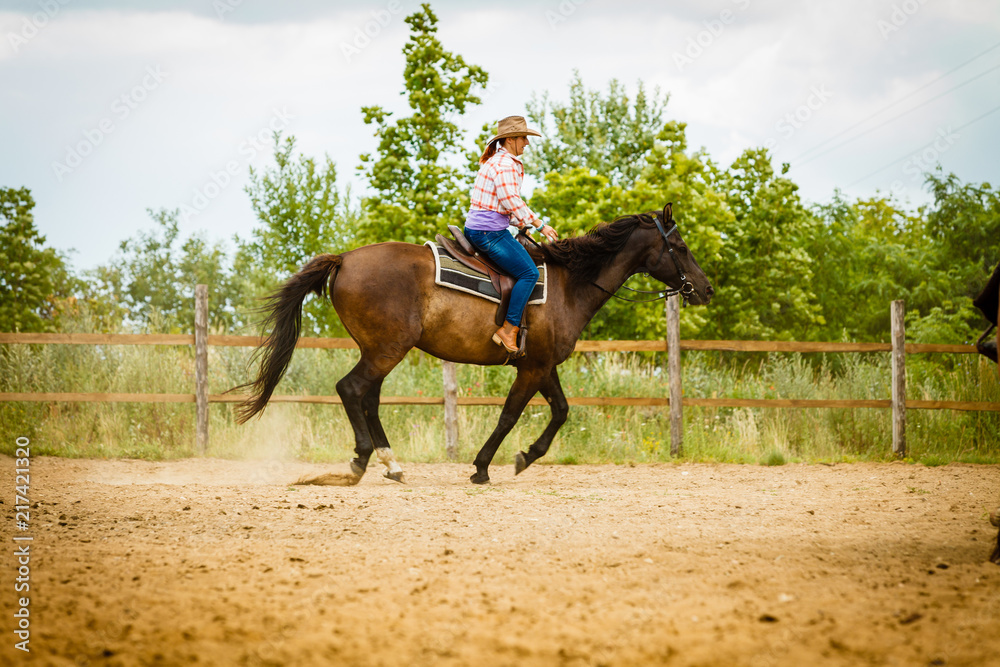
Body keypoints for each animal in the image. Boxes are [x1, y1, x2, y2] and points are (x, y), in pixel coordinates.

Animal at [233, 204, 712, 486]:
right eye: (681, 246)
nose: (705, 289)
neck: (569, 284)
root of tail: (345, 259)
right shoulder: (532, 368)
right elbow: (509, 415)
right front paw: (483, 467)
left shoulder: (543, 365)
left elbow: (560, 411)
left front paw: (526, 457)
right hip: (387, 350)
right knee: (351, 390)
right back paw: (360, 463)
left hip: (380, 351)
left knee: (368, 399)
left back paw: (392, 465)